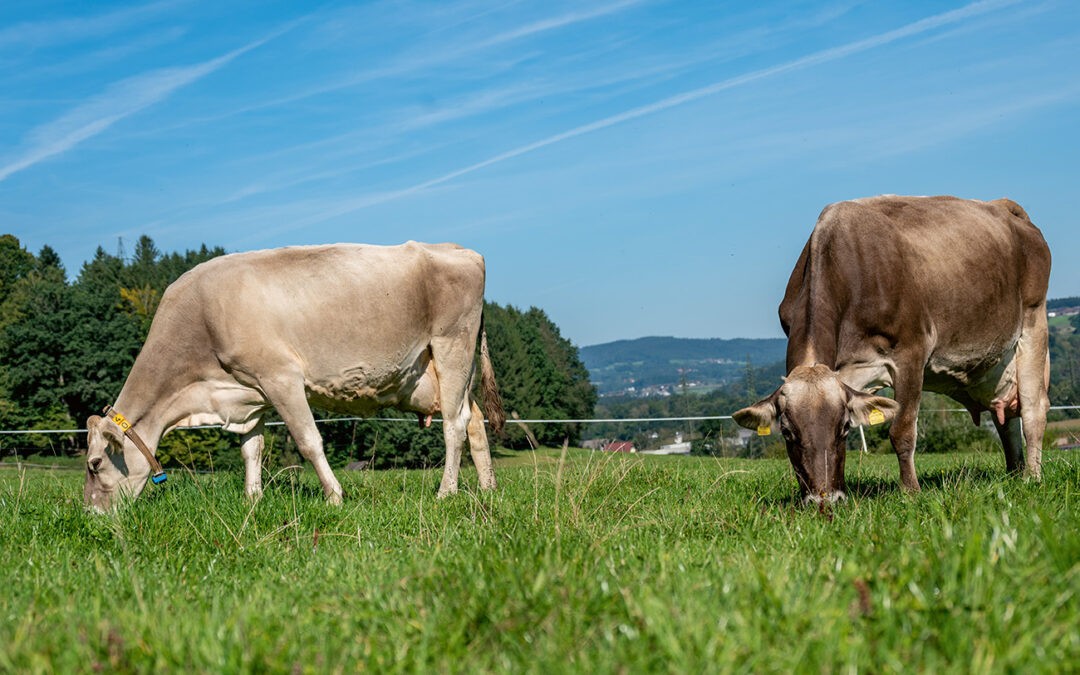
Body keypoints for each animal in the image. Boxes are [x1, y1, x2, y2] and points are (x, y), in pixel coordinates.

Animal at [84, 241, 505, 509]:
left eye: (95, 464)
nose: (90, 515)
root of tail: (460, 249)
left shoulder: (279, 377)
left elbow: (308, 441)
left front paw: (334, 496)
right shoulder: (250, 391)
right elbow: (251, 449)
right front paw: (252, 499)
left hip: (451, 346)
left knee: (454, 425)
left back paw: (446, 492)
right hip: (452, 371)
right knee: (474, 421)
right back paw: (487, 488)